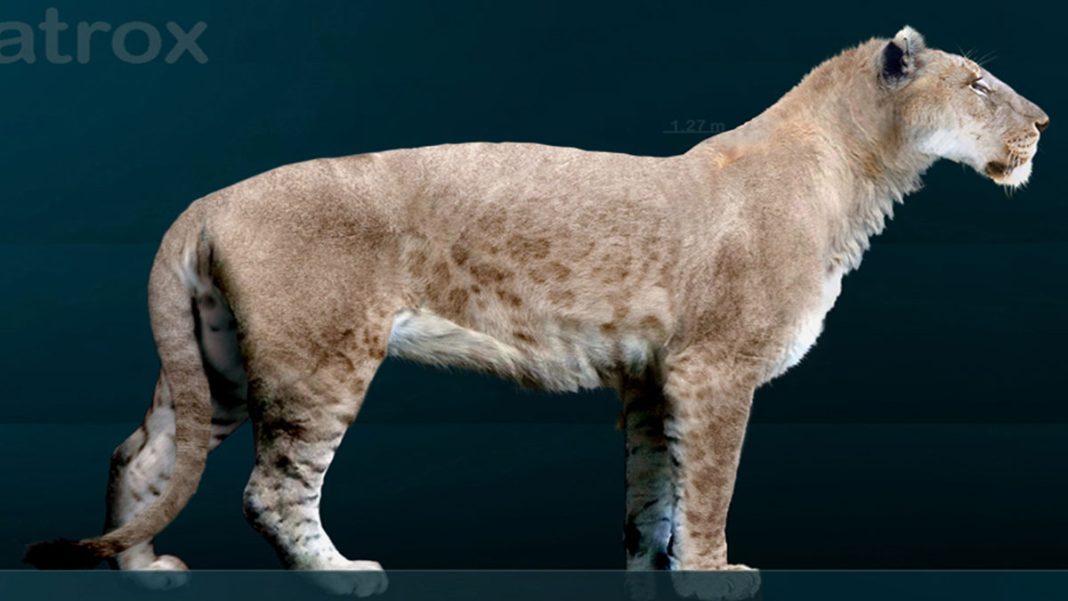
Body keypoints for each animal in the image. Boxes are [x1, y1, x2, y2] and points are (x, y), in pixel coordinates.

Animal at [25, 26, 1047, 599]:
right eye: (979, 84)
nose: (1042, 124)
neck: (859, 172)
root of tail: (209, 198)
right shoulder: (714, 366)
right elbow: (711, 482)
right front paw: (716, 574)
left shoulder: (652, 376)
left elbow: (654, 492)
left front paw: (653, 567)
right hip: (320, 357)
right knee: (271, 488)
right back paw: (342, 576)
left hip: (219, 361)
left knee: (141, 452)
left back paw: (139, 567)